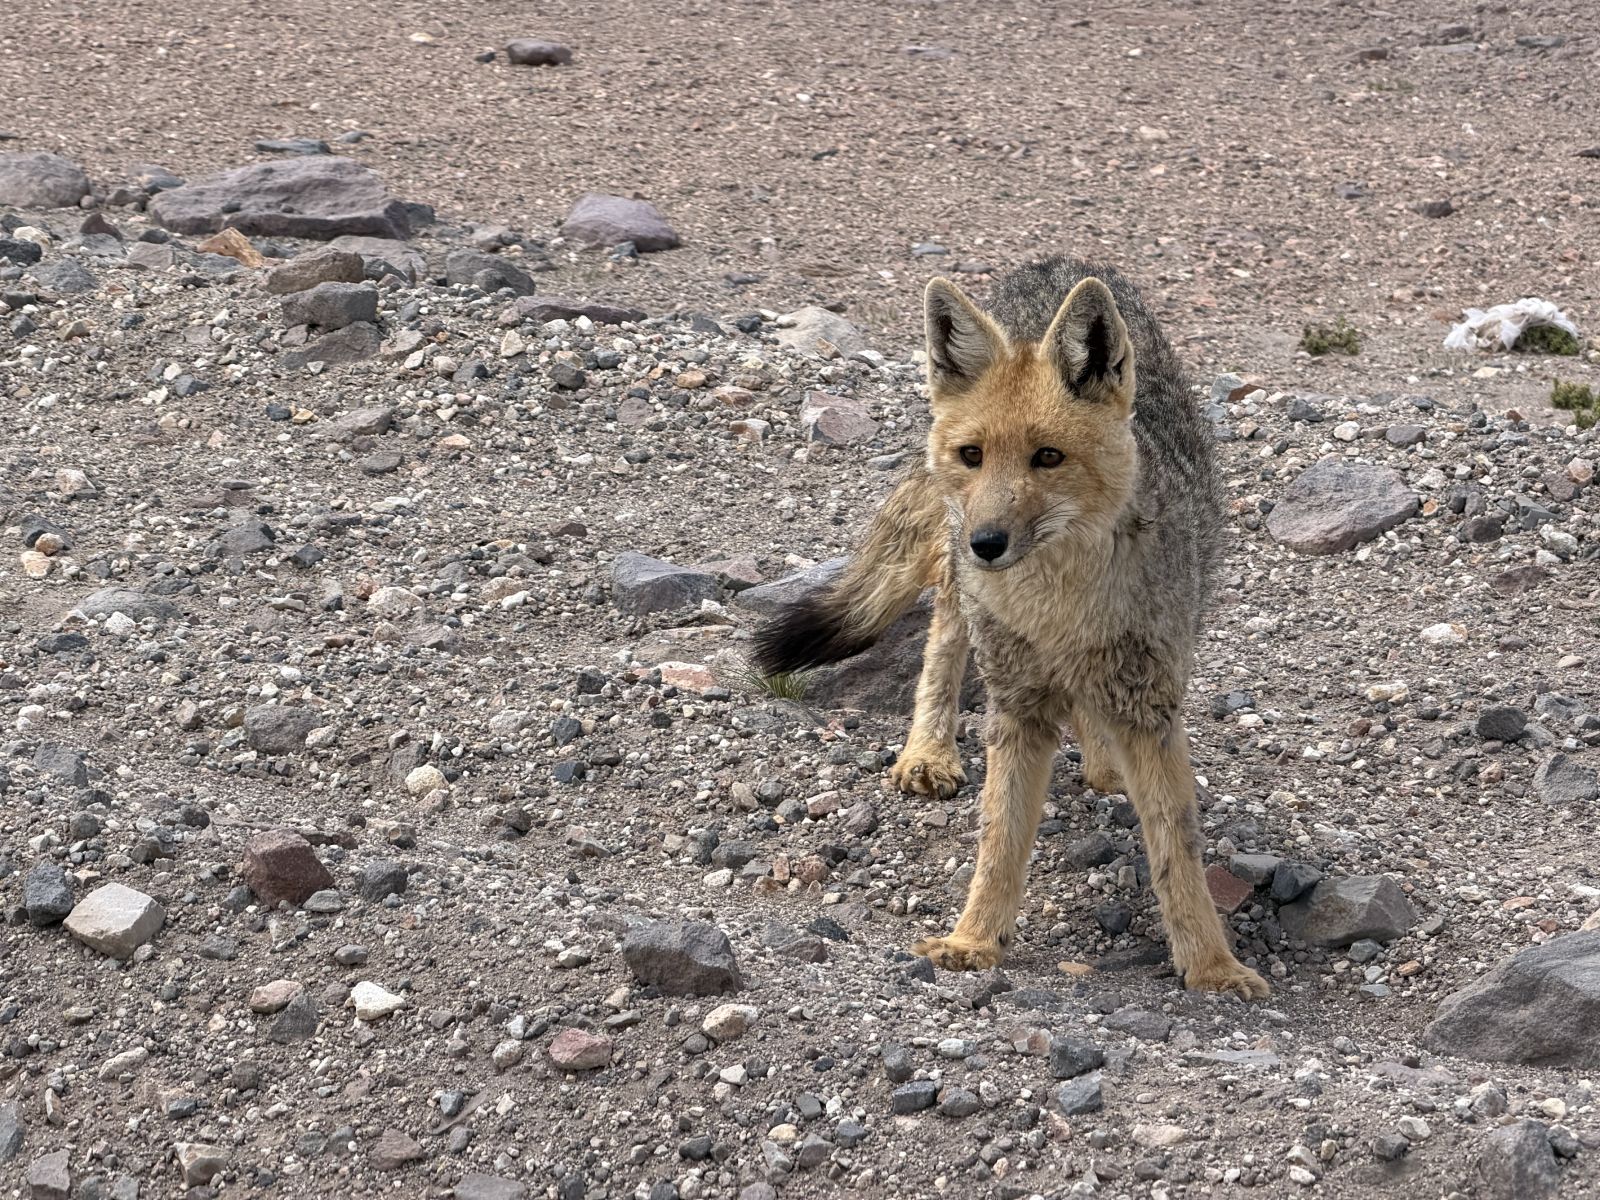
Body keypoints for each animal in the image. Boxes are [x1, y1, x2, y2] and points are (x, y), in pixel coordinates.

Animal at [752, 257, 1268, 999]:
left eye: (1047, 458)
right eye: (974, 455)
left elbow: (1178, 847)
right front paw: (974, 940)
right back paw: (929, 751)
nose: (988, 544)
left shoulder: (1151, 706)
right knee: (943, 638)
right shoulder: (1016, 707)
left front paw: (1212, 966)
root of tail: (1055, 262)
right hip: (957, 584)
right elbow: (1000, 837)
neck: (1057, 610)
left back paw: (1103, 763)